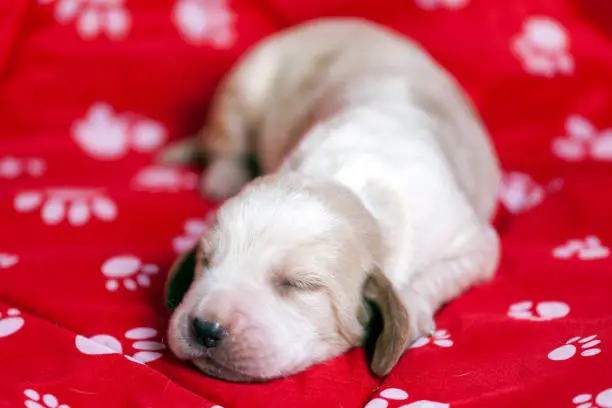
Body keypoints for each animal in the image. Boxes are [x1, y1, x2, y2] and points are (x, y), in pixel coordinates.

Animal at [164, 17, 502, 384]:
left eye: (297, 285)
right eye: (206, 260)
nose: (204, 327)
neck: (347, 185)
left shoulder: (473, 245)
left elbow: (432, 278)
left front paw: (412, 310)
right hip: (245, 86)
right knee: (226, 142)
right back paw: (223, 177)